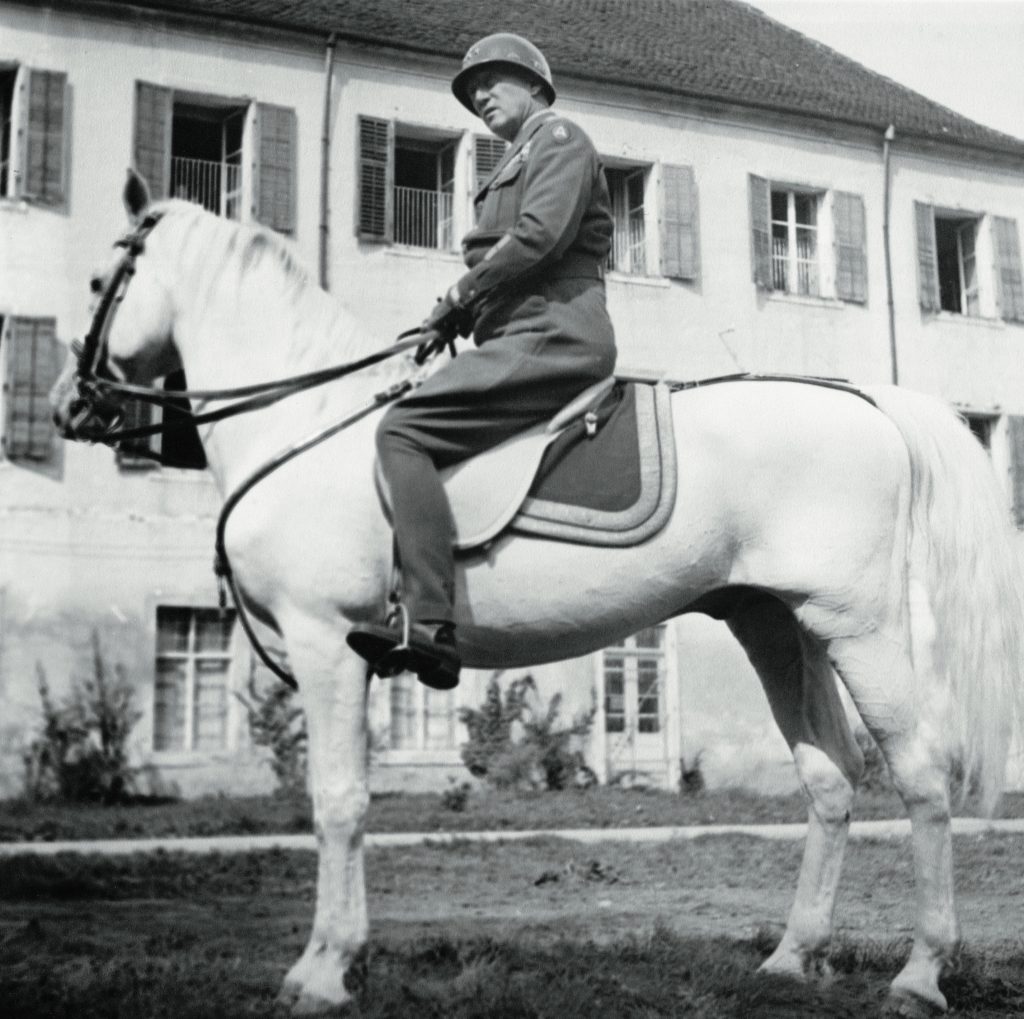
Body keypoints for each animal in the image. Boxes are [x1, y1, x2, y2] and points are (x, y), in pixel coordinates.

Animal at [51, 175, 1019, 1019]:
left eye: (101, 282)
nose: (67, 406)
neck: (306, 427)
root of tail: (865, 402)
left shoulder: (327, 645)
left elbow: (338, 802)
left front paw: (322, 970)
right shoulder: (351, 657)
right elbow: (347, 799)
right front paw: (338, 958)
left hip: (862, 631)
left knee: (920, 775)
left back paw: (920, 972)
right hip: (779, 628)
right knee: (829, 780)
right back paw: (791, 956)